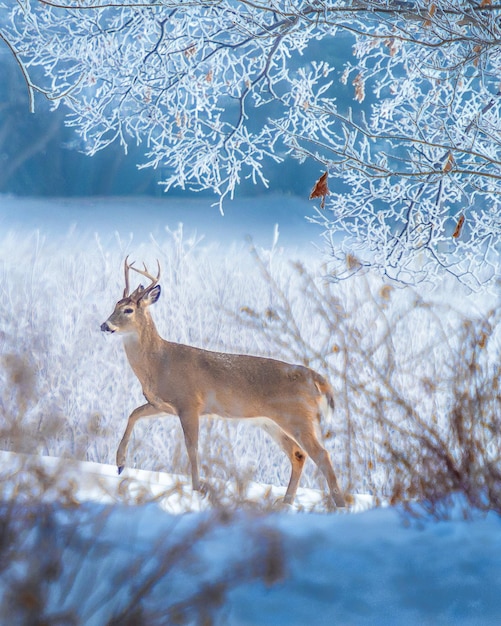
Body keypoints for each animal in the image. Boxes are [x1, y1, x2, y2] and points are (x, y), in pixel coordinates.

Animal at [100, 258, 346, 508]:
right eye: (115, 304)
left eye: (128, 310)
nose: (105, 325)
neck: (160, 363)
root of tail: (316, 378)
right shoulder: (163, 405)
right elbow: (133, 414)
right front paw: (120, 464)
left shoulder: (189, 403)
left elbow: (192, 447)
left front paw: (197, 488)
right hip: (271, 421)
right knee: (298, 454)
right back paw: (286, 501)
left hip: (298, 417)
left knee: (322, 454)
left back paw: (340, 504)